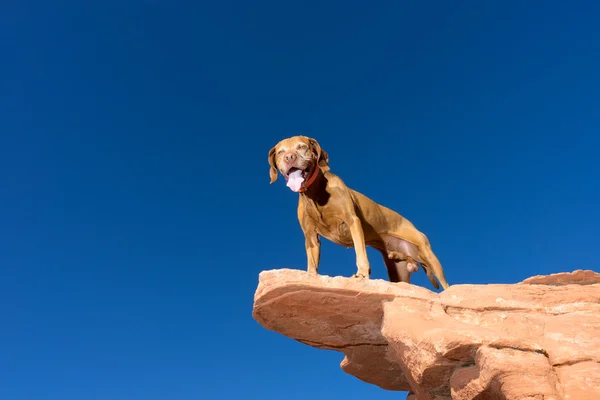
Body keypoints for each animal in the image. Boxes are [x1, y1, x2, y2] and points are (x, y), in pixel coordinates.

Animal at [268, 135, 450, 290]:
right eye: (280, 152)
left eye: (302, 147)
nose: (289, 157)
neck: (314, 193)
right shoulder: (310, 235)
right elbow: (312, 263)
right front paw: (309, 277)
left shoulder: (352, 221)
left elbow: (360, 253)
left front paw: (362, 274)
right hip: (399, 271)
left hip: (428, 254)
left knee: (446, 285)